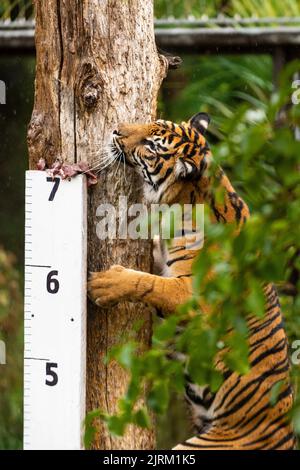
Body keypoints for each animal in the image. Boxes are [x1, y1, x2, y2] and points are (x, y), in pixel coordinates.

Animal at [87, 112, 296, 450]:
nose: (116, 131)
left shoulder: (196, 299)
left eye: (151, 144)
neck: (181, 201)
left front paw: (104, 283)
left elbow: (148, 284)